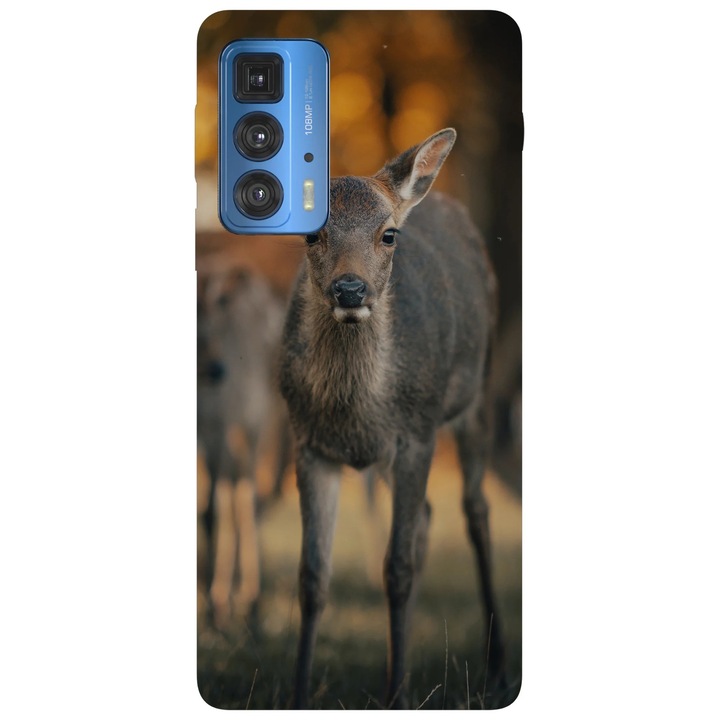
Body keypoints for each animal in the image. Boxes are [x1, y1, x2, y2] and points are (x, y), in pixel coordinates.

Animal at [279, 128, 507, 708]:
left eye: (387, 236)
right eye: (311, 235)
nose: (350, 289)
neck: (355, 410)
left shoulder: (416, 434)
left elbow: (396, 568)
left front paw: (399, 697)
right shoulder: (308, 441)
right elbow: (311, 577)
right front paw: (298, 695)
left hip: (476, 393)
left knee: (476, 511)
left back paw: (495, 667)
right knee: (427, 515)